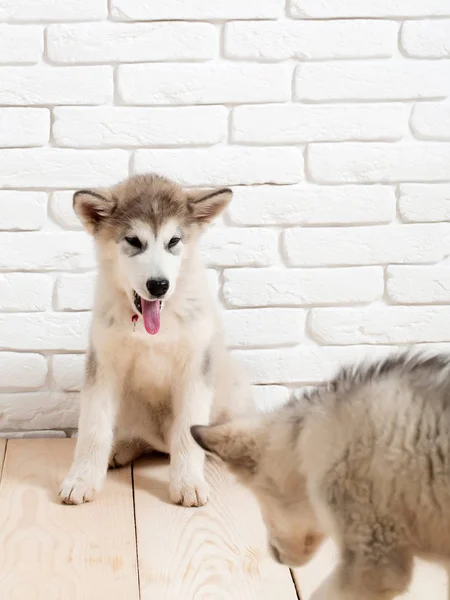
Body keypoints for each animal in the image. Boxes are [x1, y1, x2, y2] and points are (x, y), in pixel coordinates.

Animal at [59, 172, 253, 506]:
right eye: (134, 241)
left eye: (173, 242)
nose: (159, 285)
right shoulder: (103, 366)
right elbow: (94, 429)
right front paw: (82, 479)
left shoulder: (195, 367)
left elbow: (187, 431)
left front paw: (188, 482)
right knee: (143, 439)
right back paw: (120, 449)